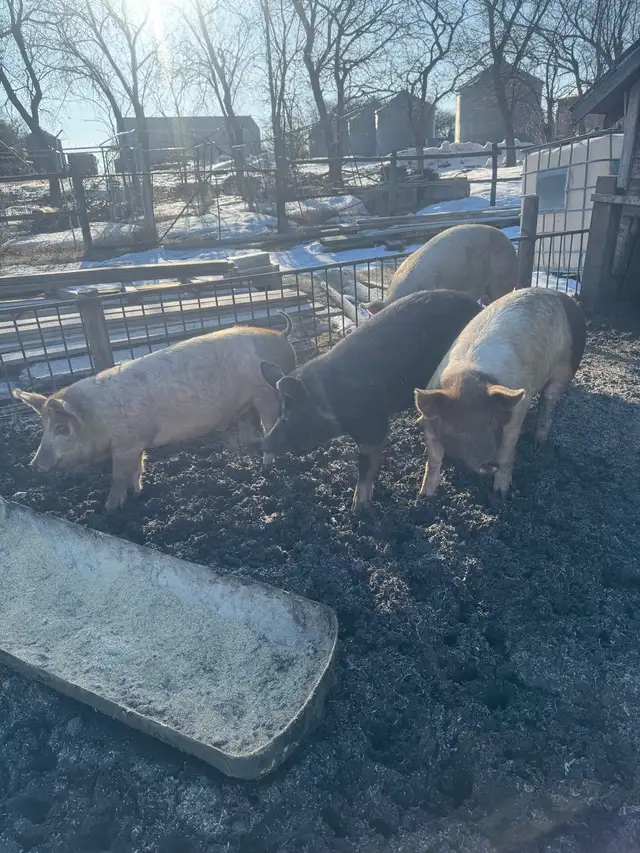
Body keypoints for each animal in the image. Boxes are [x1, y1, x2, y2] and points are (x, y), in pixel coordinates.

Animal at [13, 313, 296, 510]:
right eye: (44, 428)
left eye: (62, 428)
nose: (34, 465)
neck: (96, 417)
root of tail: (281, 335)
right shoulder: (135, 444)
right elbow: (137, 469)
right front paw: (138, 494)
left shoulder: (125, 444)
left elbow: (118, 476)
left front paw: (109, 509)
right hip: (247, 403)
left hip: (265, 394)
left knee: (270, 425)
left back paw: (267, 466)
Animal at [260, 290, 482, 509]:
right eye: (279, 411)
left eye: (290, 414)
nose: (265, 442)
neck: (332, 401)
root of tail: (477, 305)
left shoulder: (374, 426)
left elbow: (366, 467)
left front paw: (357, 508)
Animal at [414, 288, 586, 497]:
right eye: (456, 427)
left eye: (490, 421)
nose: (489, 464)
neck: (466, 379)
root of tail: (566, 298)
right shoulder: (429, 422)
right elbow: (434, 458)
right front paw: (424, 495)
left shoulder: (515, 417)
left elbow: (506, 452)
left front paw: (500, 493)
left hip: (566, 368)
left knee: (548, 402)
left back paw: (538, 444)